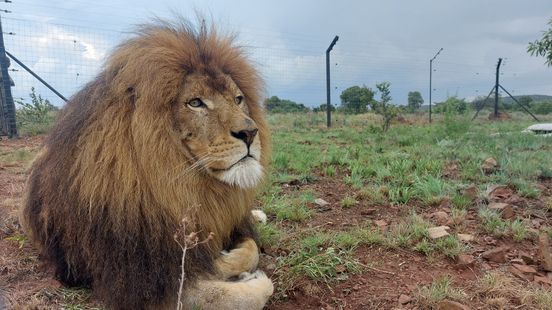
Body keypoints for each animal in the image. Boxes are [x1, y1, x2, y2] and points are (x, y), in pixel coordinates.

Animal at [20, 20, 274, 310]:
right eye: (195, 102)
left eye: (238, 99)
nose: (250, 133)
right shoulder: (142, 281)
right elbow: (234, 295)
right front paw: (247, 276)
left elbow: (250, 249)